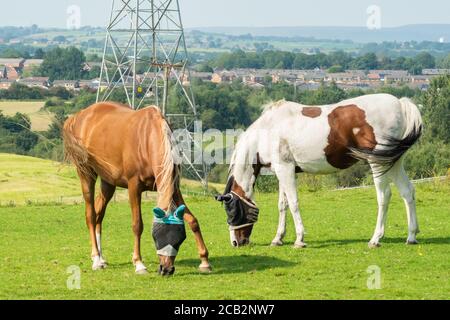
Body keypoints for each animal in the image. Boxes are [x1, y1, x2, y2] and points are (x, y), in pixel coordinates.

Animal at [62, 102, 211, 276]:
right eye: (156, 236)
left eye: (179, 239)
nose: (166, 269)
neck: (148, 138)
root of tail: (77, 117)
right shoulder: (134, 186)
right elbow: (137, 225)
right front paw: (139, 263)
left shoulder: (173, 187)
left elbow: (193, 220)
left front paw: (204, 261)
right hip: (86, 174)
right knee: (91, 215)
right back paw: (96, 259)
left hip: (108, 182)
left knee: (99, 213)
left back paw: (100, 257)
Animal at [216, 94, 424, 249]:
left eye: (231, 211)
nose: (236, 242)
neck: (267, 131)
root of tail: (400, 103)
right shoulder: (282, 171)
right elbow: (282, 204)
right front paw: (278, 238)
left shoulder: (286, 170)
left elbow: (293, 203)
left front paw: (299, 239)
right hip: (394, 162)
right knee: (407, 192)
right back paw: (411, 236)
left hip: (377, 163)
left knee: (384, 196)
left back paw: (375, 239)